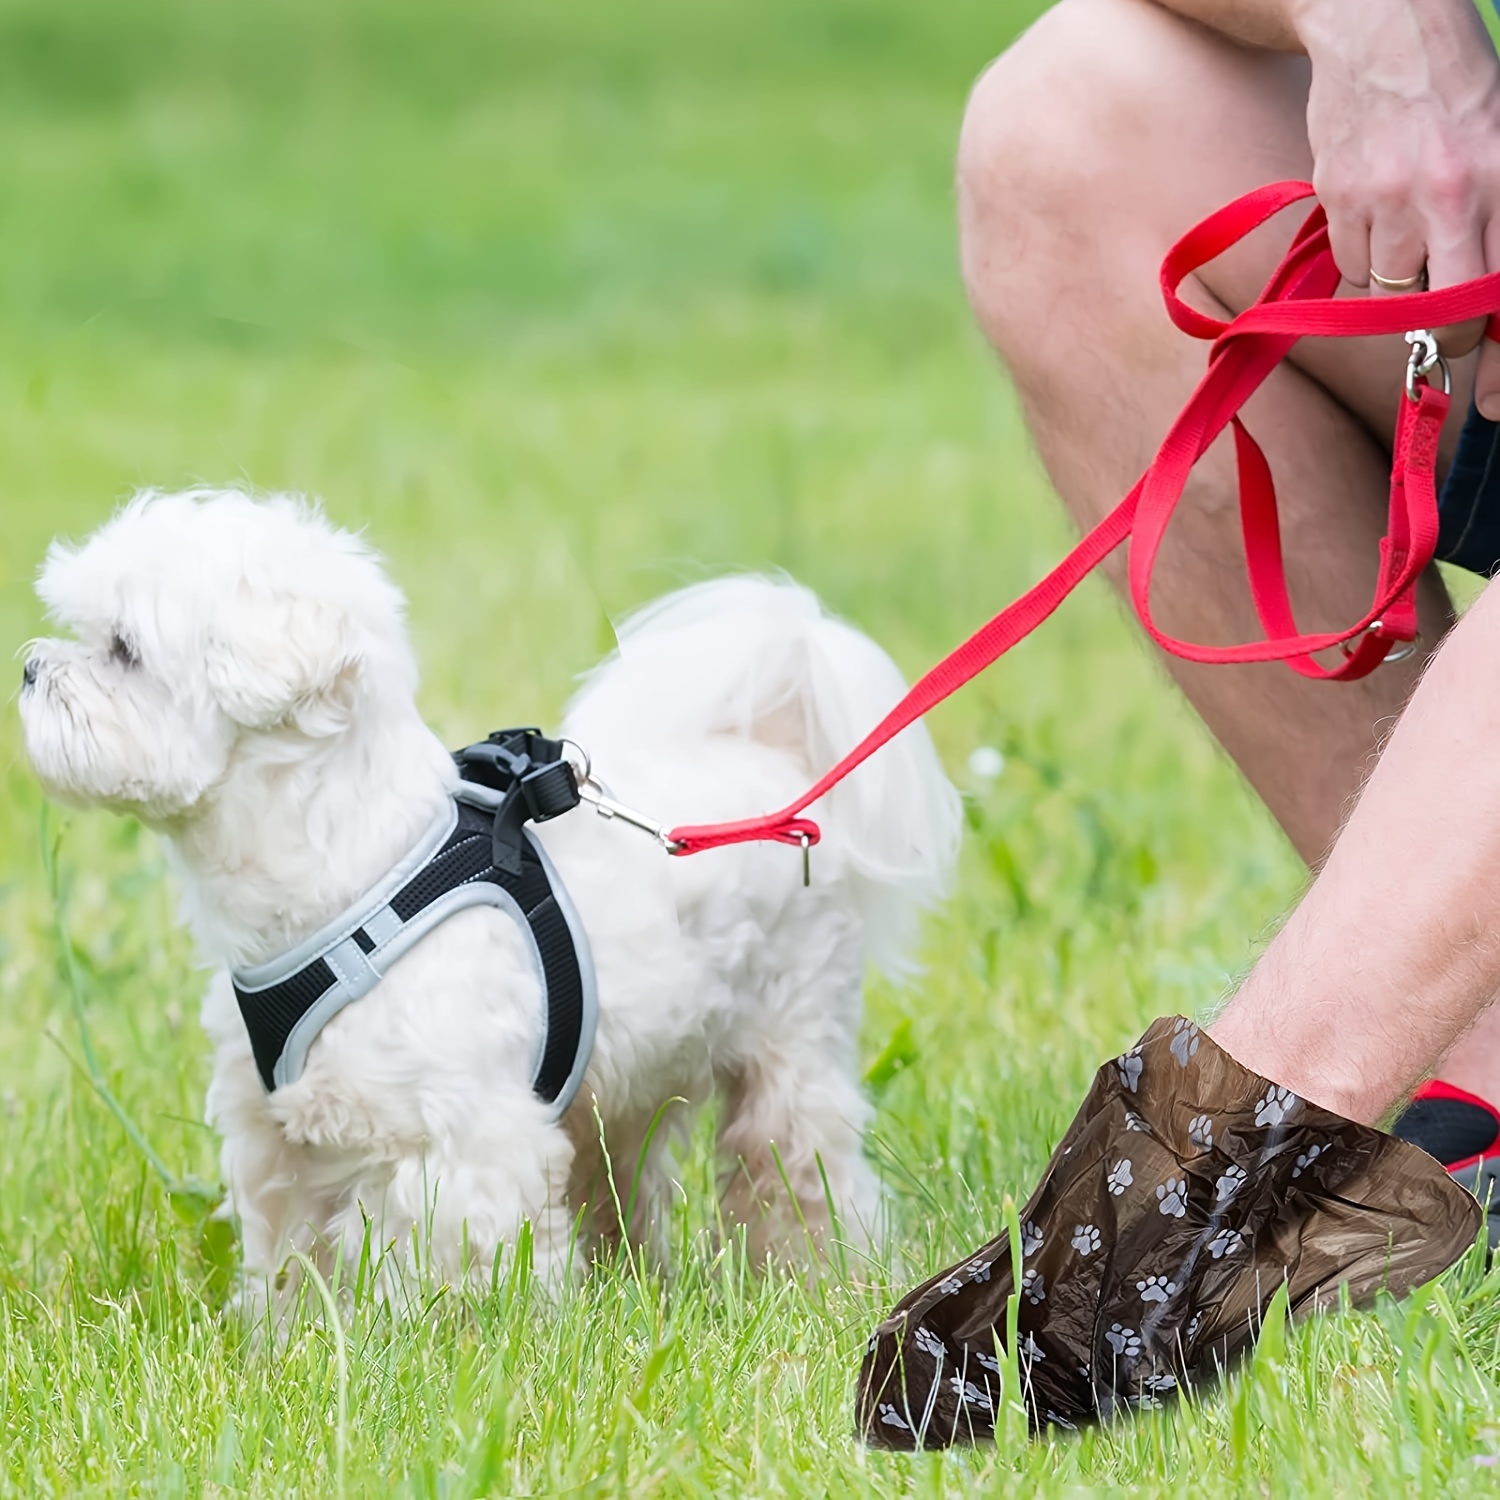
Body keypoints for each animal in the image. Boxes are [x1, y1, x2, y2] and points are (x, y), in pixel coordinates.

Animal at [20, 489, 960, 1302]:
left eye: (124, 650)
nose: (28, 666)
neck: (352, 871)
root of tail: (772, 761)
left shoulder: (462, 1140)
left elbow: (455, 1265)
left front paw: (446, 1349)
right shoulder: (276, 1136)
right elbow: (289, 1262)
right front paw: (286, 1348)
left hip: (791, 1041)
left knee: (799, 1164)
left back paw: (823, 1276)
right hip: (621, 1082)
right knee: (623, 1178)